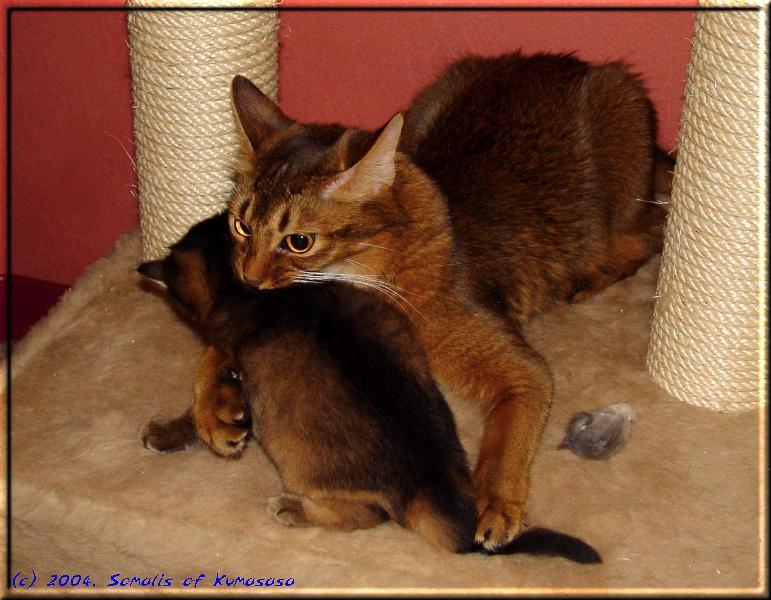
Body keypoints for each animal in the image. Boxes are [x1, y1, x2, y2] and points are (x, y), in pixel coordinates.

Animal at [193, 51, 668, 548]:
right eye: (240, 226)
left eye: (299, 242)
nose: (249, 277)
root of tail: (571, 65)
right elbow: (216, 343)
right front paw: (212, 407)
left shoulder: (524, 372)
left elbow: (509, 439)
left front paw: (497, 505)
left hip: (618, 154)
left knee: (651, 233)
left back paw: (590, 278)